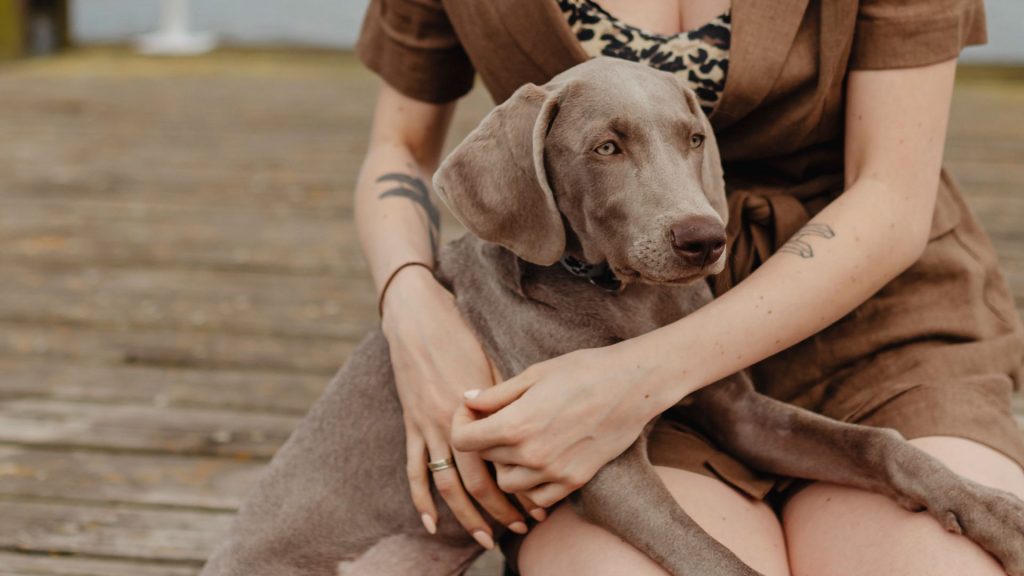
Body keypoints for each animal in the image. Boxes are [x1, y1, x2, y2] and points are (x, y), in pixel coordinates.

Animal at [199, 59, 1024, 573]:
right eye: (605, 147)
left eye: (694, 139)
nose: (703, 239)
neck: (626, 299)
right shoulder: (588, 460)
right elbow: (710, 556)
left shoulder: (740, 411)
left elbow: (880, 444)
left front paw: (993, 514)